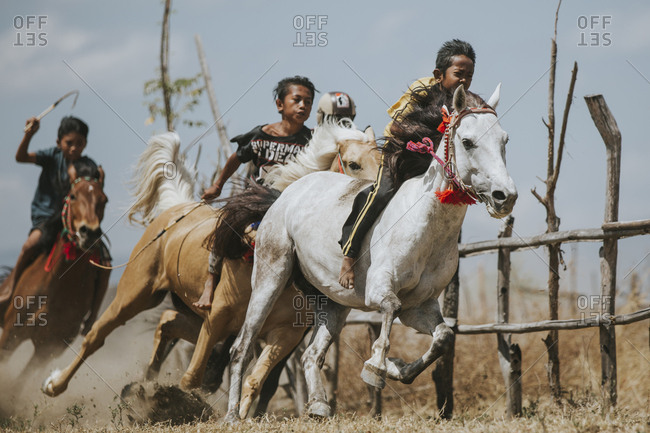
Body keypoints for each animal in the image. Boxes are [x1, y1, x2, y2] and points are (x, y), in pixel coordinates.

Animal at [0, 164, 110, 380]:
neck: (57, 288)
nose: (89, 232)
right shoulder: (10, 335)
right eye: (73, 195)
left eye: (104, 199)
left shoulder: (47, 350)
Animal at [42, 121, 380, 419]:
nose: (376, 199)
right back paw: (54, 385)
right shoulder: (218, 318)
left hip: (193, 315)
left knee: (167, 323)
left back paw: (145, 382)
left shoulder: (284, 333)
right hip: (136, 294)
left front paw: (239, 414)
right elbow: (193, 378)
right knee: (96, 335)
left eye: (382, 159)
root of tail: (176, 208)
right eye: (353, 164)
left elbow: (255, 379)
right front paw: (182, 404)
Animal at [224, 84, 518, 421]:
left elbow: (443, 336)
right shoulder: (379, 290)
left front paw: (396, 368)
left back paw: (319, 405)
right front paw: (377, 366)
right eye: (467, 142)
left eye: (505, 140)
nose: (505, 197)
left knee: (312, 354)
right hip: (270, 276)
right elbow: (390, 307)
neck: (428, 228)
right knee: (242, 346)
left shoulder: (419, 306)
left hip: (332, 302)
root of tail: (288, 191)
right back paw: (232, 414)